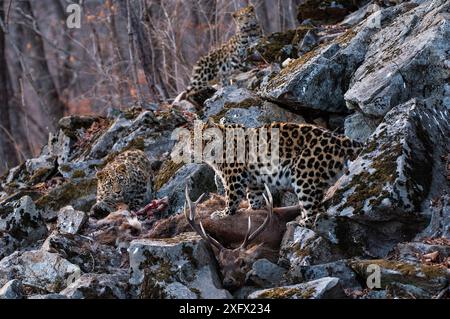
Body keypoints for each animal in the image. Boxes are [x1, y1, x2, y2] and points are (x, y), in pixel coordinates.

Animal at [200, 122, 362, 228]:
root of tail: (341, 138)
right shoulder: (254, 182)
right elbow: (253, 197)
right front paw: (251, 211)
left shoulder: (233, 178)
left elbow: (232, 198)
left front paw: (223, 214)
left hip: (304, 175)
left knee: (314, 210)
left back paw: (299, 223)